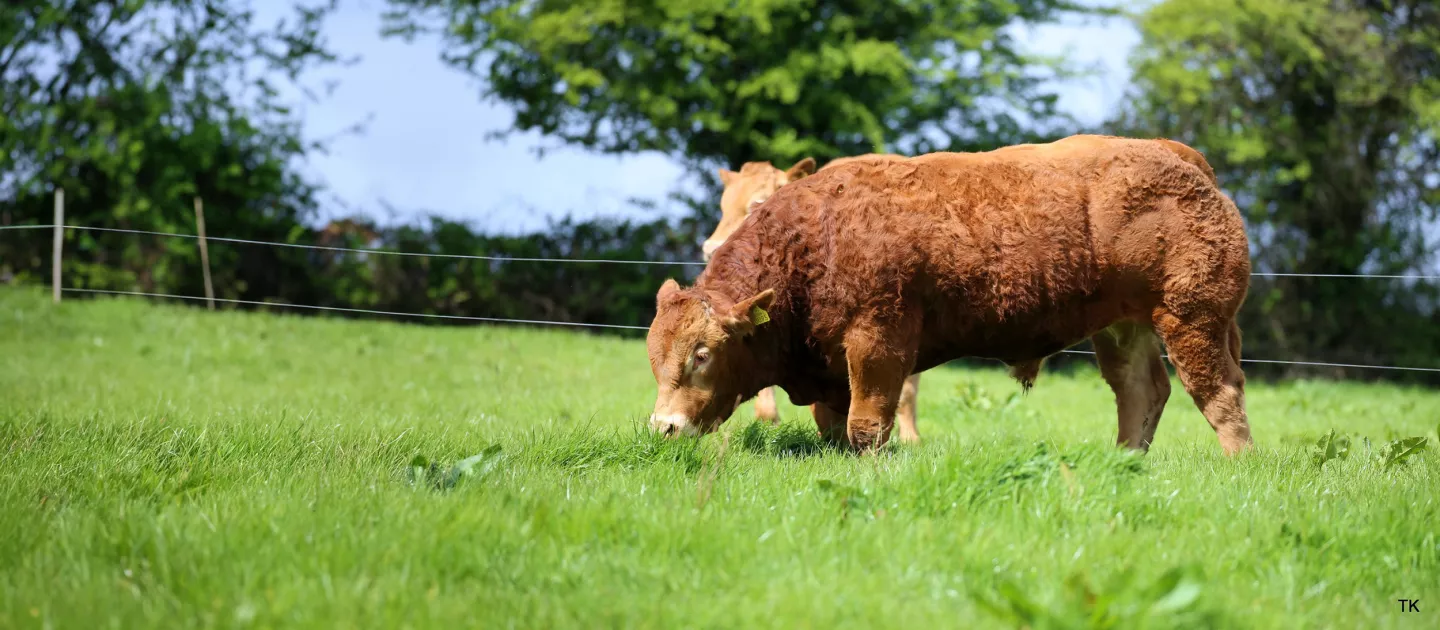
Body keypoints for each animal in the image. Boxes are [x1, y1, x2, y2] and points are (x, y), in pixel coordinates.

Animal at [648, 135, 1255, 454]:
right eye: (655, 359)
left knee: (1219, 394)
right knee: (1140, 390)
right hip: (1123, 327)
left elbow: (868, 422)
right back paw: (1125, 461)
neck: (815, 237)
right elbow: (833, 423)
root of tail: (1176, 155)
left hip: (1192, 320)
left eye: (702, 354)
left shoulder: (878, 341)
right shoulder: (830, 364)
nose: (663, 427)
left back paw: (1238, 464)